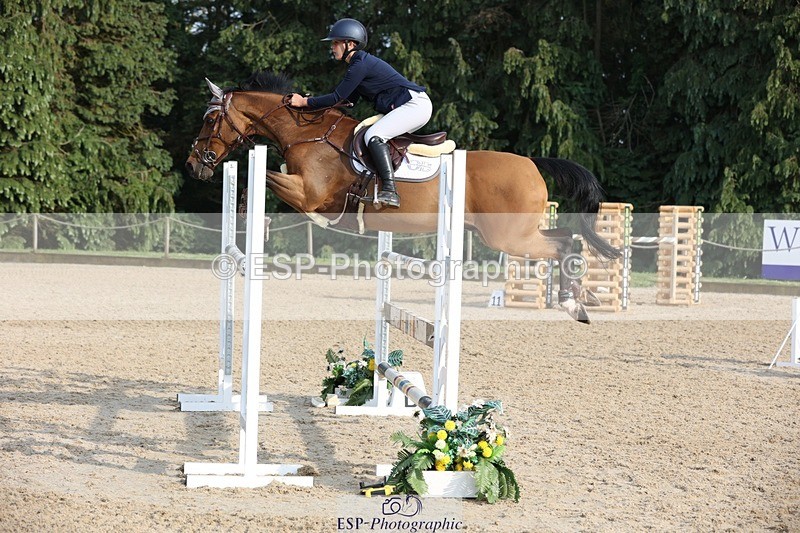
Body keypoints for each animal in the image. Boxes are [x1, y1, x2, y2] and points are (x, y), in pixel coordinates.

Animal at [185, 72, 621, 323]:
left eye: (210, 119)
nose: (194, 165)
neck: (306, 133)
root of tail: (531, 162)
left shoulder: (308, 195)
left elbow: (262, 182)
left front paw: (250, 216)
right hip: (512, 233)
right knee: (567, 238)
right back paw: (582, 299)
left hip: (508, 236)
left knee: (564, 244)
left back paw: (573, 304)